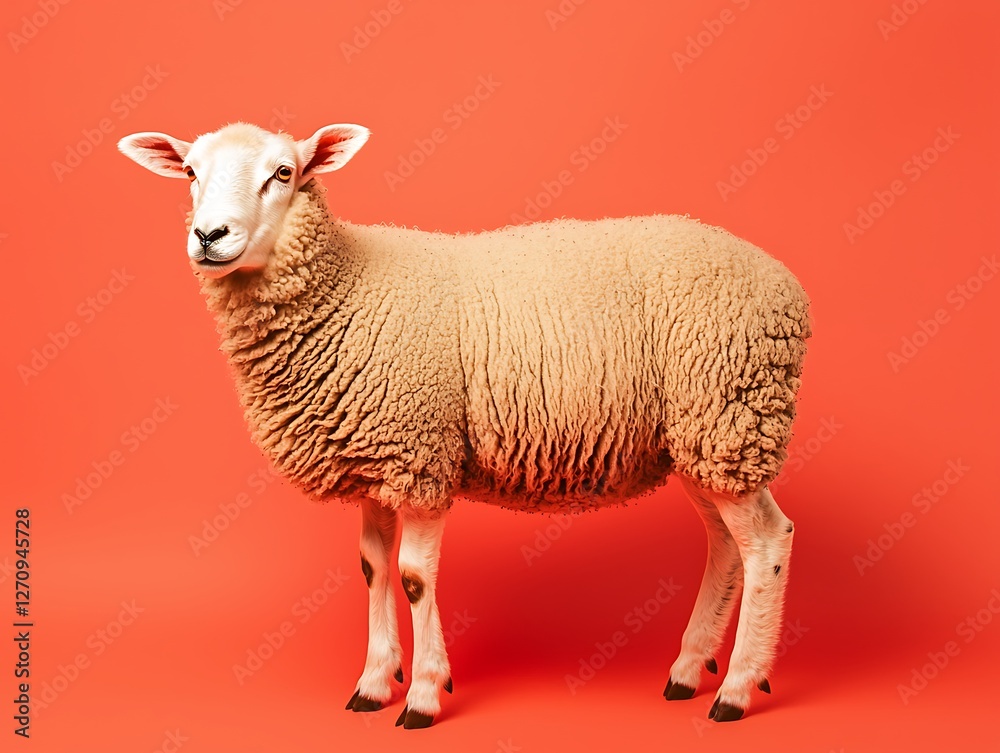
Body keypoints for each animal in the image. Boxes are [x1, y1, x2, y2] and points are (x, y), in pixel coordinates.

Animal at [118, 121, 811, 728]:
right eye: (190, 172)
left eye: (283, 173)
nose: (209, 235)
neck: (346, 286)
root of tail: (786, 284)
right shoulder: (374, 459)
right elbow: (373, 568)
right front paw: (374, 684)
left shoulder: (420, 453)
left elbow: (414, 578)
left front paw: (423, 696)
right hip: (703, 437)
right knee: (727, 545)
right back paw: (690, 670)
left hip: (730, 411)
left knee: (767, 542)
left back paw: (737, 688)